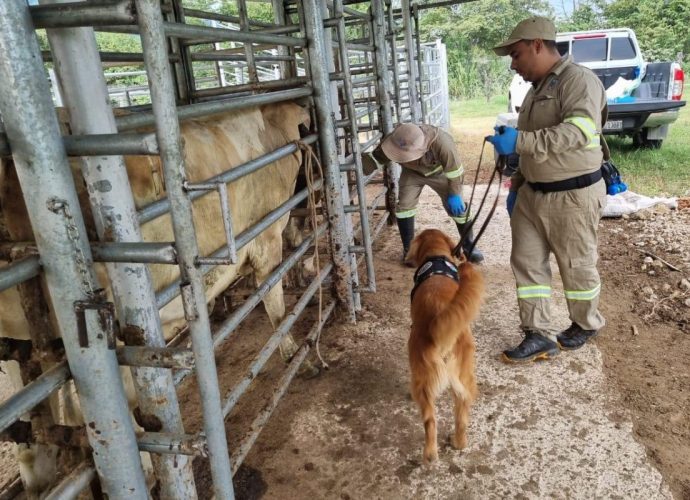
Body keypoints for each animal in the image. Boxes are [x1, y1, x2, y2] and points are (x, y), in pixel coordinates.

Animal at [404, 229, 484, 462]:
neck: (436, 256)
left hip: (422, 376)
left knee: (430, 421)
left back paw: (430, 455)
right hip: (465, 376)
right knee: (462, 413)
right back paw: (458, 442)